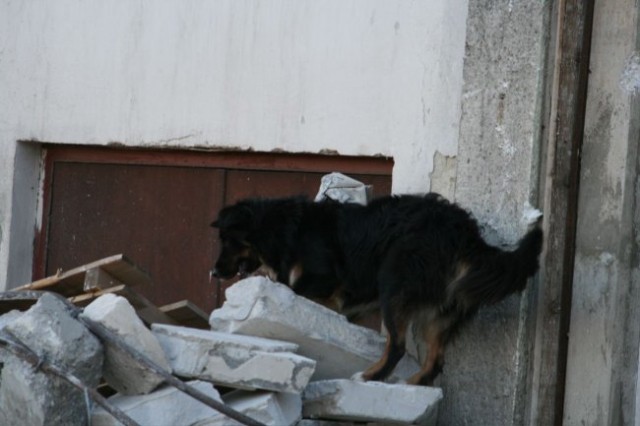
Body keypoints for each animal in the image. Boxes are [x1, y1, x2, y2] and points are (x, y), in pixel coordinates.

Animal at [212, 194, 544, 386]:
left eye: (227, 241)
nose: (213, 272)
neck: (285, 229)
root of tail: (464, 232)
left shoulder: (327, 280)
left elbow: (291, 286)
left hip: (394, 282)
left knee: (396, 345)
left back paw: (370, 376)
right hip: (439, 312)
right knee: (435, 361)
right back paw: (410, 383)